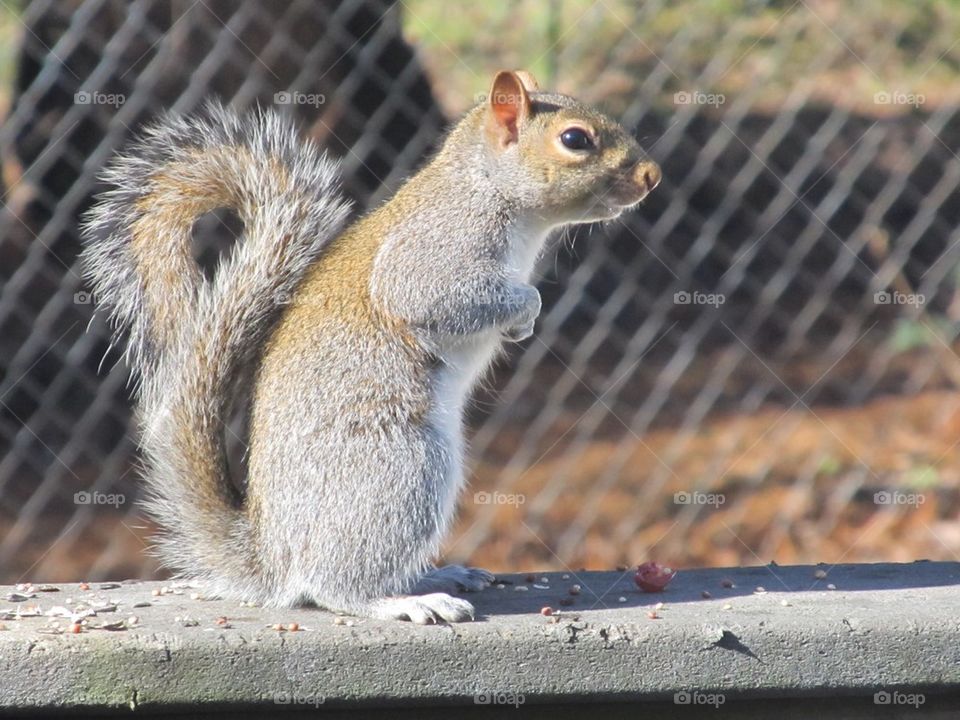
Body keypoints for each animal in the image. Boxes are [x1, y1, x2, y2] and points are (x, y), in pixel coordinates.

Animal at [82, 73, 660, 624]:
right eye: (575, 139)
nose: (652, 176)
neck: (484, 188)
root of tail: (272, 555)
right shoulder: (437, 250)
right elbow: (433, 295)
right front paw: (525, 310)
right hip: (400, 467)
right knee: (333, 585)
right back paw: (402, 602)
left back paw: (438, 575)